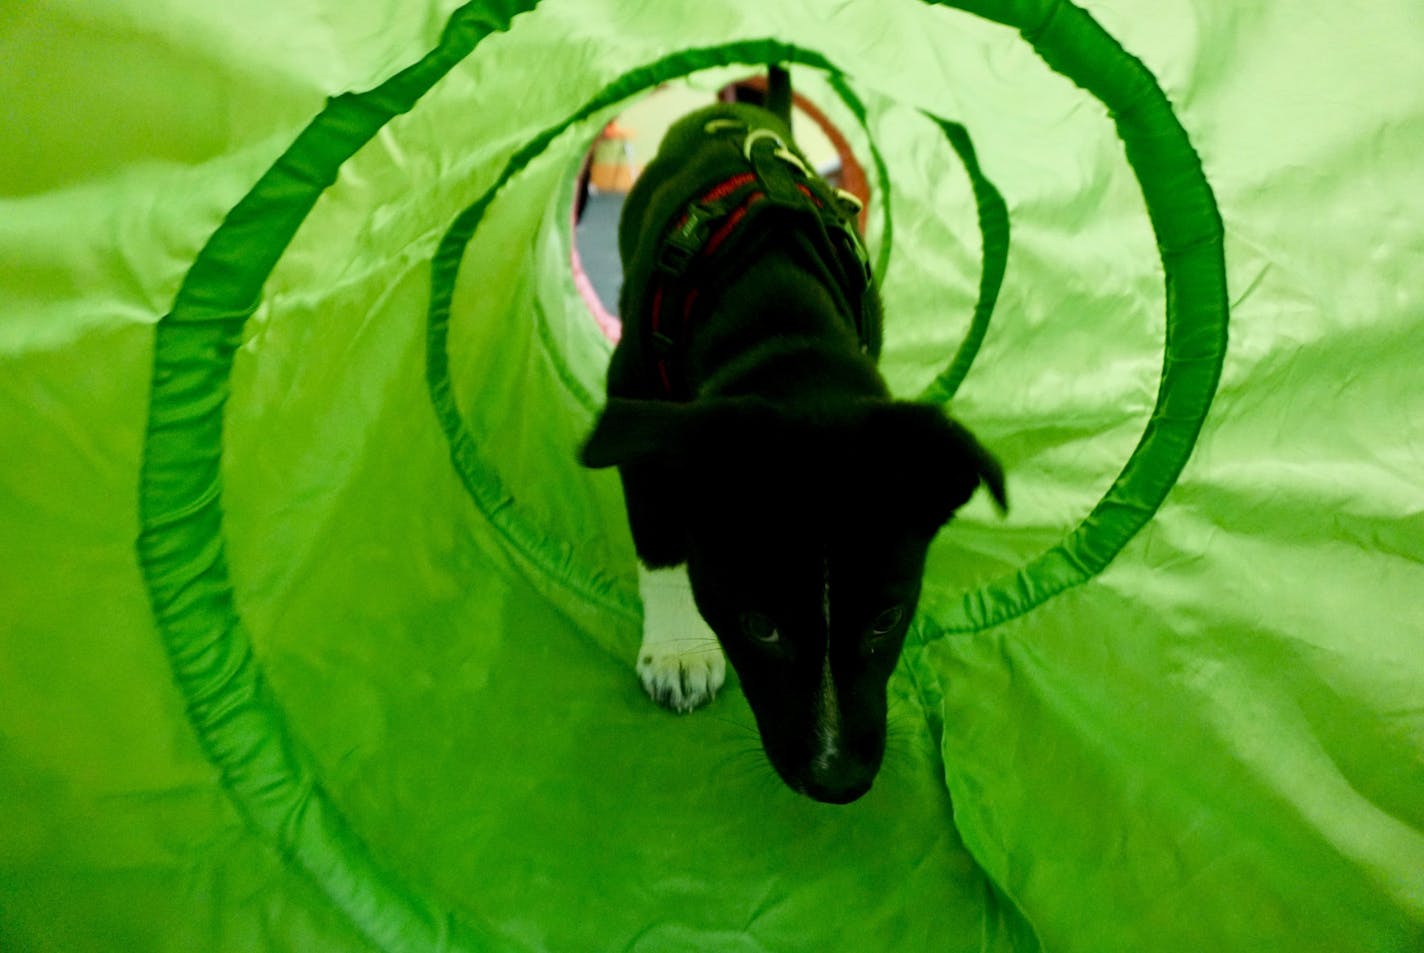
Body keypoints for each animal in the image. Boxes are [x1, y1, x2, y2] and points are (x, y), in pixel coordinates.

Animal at [578, 65, 1002, 803]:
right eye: (760, 626)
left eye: (888, 619)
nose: (840, 780)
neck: (781, 323)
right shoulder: (638, 408)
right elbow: (660, 537)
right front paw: (679, 651)